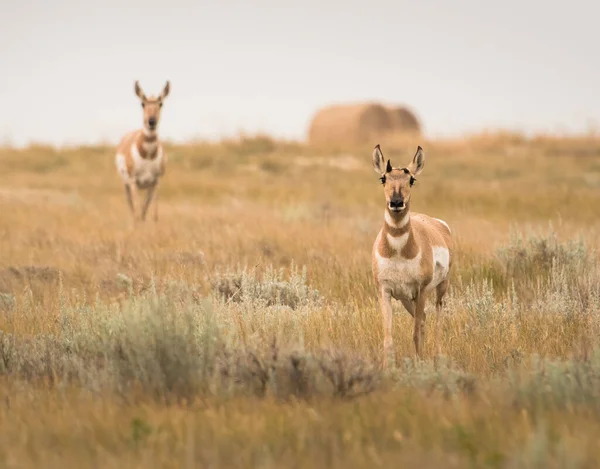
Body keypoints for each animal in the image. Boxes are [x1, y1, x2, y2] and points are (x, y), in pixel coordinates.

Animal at [115, 80, 170, 221]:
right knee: (132, 210)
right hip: (126, 185)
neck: (148, 155)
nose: (151, 121)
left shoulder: (155, 183)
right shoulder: (134, 182)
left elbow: (152, 213)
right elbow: (137, 213)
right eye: (142, 104)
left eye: (160, 103)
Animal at [372, 144, 452, 364]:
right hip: (407, 299)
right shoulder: (385, 291)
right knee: (423, 317)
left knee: (437, 318)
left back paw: (437, 357)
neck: (399, 252)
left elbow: (415, 335)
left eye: (411, 180)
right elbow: (388, 340)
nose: (396, 202)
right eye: (383, 178)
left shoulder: (421, 290)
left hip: (440, 289)